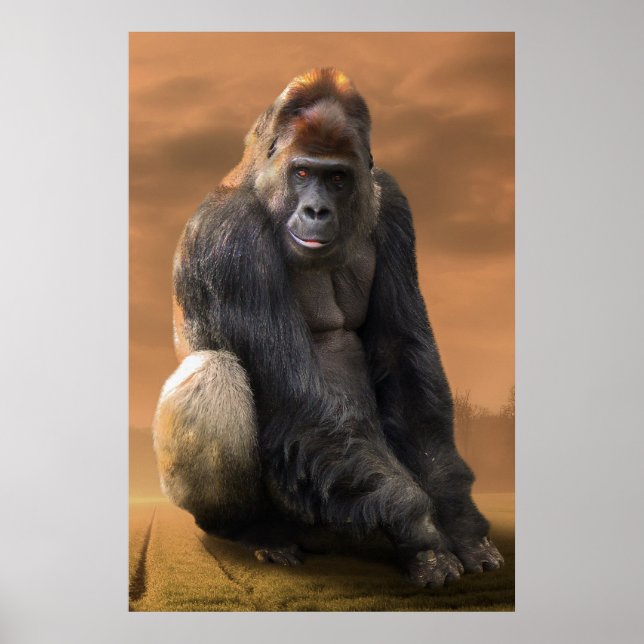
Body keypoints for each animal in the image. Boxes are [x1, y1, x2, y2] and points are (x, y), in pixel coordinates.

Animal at [153, 68, 504, 587]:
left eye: (337, 177)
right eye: (302, 172)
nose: (316, 211)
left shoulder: (391, 200)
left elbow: (403, 361)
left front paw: (459, 519)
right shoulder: (230, 237)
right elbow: (295, 398)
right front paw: (420, 527)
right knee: (213, 372)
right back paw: (253, 530)